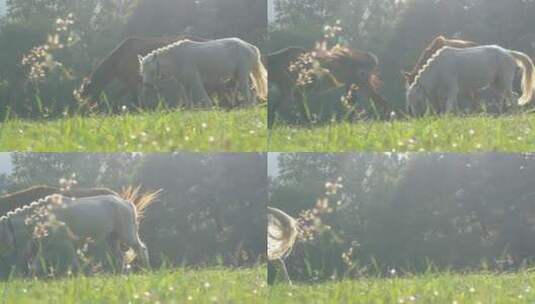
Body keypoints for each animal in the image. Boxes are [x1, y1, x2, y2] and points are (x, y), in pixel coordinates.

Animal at [0, 194, 153, 276]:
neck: (43, 216)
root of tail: (126, 202)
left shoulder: (66, 243)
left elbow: (73, 262)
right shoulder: (46, 246)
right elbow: (36, 265)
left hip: (127, 234)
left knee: (141, 249)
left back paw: (147, 271)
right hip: (112, 238)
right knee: (120, 257)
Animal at [138, 37, 268, 107]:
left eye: (152, 70)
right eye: (142, 71)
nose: (147, 85)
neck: (177, 58)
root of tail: (251, 47)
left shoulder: (196, 80)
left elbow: (204, 98)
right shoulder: (185, 84)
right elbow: (188, 100)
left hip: (243, 75)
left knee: (247, 93)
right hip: (237, 76)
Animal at [406, 45, 535, 116]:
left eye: (417, 101)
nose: (417, 118)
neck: (438, 68)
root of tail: (508, 52)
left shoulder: (452, 90)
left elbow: (449, 106)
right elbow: (454, 107)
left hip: (504, 82)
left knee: (513, 99)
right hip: (497, 84)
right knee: (511, 97)